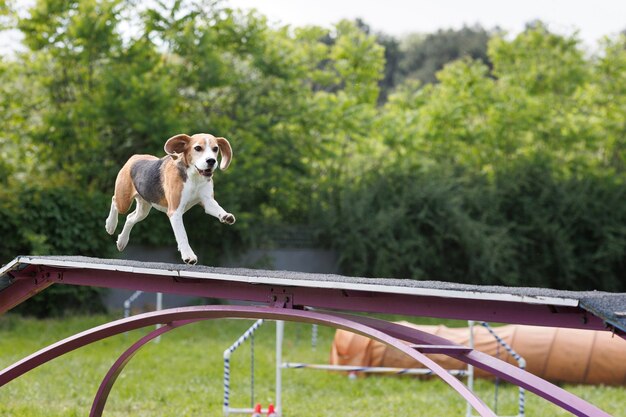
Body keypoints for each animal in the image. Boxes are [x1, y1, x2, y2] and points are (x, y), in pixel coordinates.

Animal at [106, 133, 235, 264]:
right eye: (198, 148)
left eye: (215, 149)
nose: (211, 161)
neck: (194, 177)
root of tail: (134, 157)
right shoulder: (175, 212)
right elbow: (183, 235)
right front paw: (189, 256)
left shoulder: (208, 201)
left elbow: (217, 208)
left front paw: (226, 216)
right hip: (124, 201)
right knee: (114, 201)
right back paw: (110, 225)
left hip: (143, 209)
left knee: (129, 218)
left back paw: (122, 241)